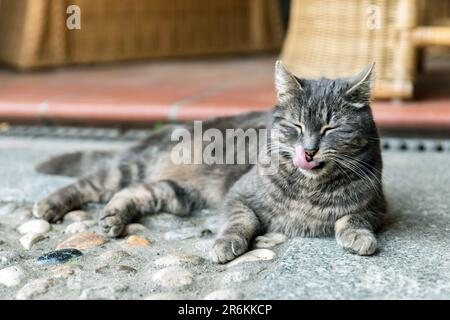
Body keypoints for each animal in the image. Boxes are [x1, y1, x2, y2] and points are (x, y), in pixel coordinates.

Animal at [35, 62, 386, 262]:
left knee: (135, 191)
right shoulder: (238, 196)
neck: (310, 189)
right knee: (95, 182)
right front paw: (226, 244)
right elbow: (239, 222)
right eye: (296, 126)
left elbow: (353, 218)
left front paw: (358, 237)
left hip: (178, 195)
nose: (309, 150)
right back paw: (50, 205)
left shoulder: (377, 207)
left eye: (330, 128)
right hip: (137, 170)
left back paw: (114, 217)